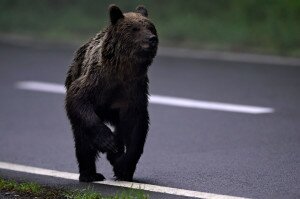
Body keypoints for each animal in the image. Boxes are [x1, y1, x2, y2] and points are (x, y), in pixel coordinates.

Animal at [65, 4, 159, 182]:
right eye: (135, 28)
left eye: (151, 27)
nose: (152, 39)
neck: (122, 69)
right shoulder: (97, 81)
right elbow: (79, 98)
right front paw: (108, 143)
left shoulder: (134, 90)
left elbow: (136, 126)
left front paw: (124, 168)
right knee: (82, 139)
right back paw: (90, 173)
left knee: (121, 129)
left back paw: (116, 158)